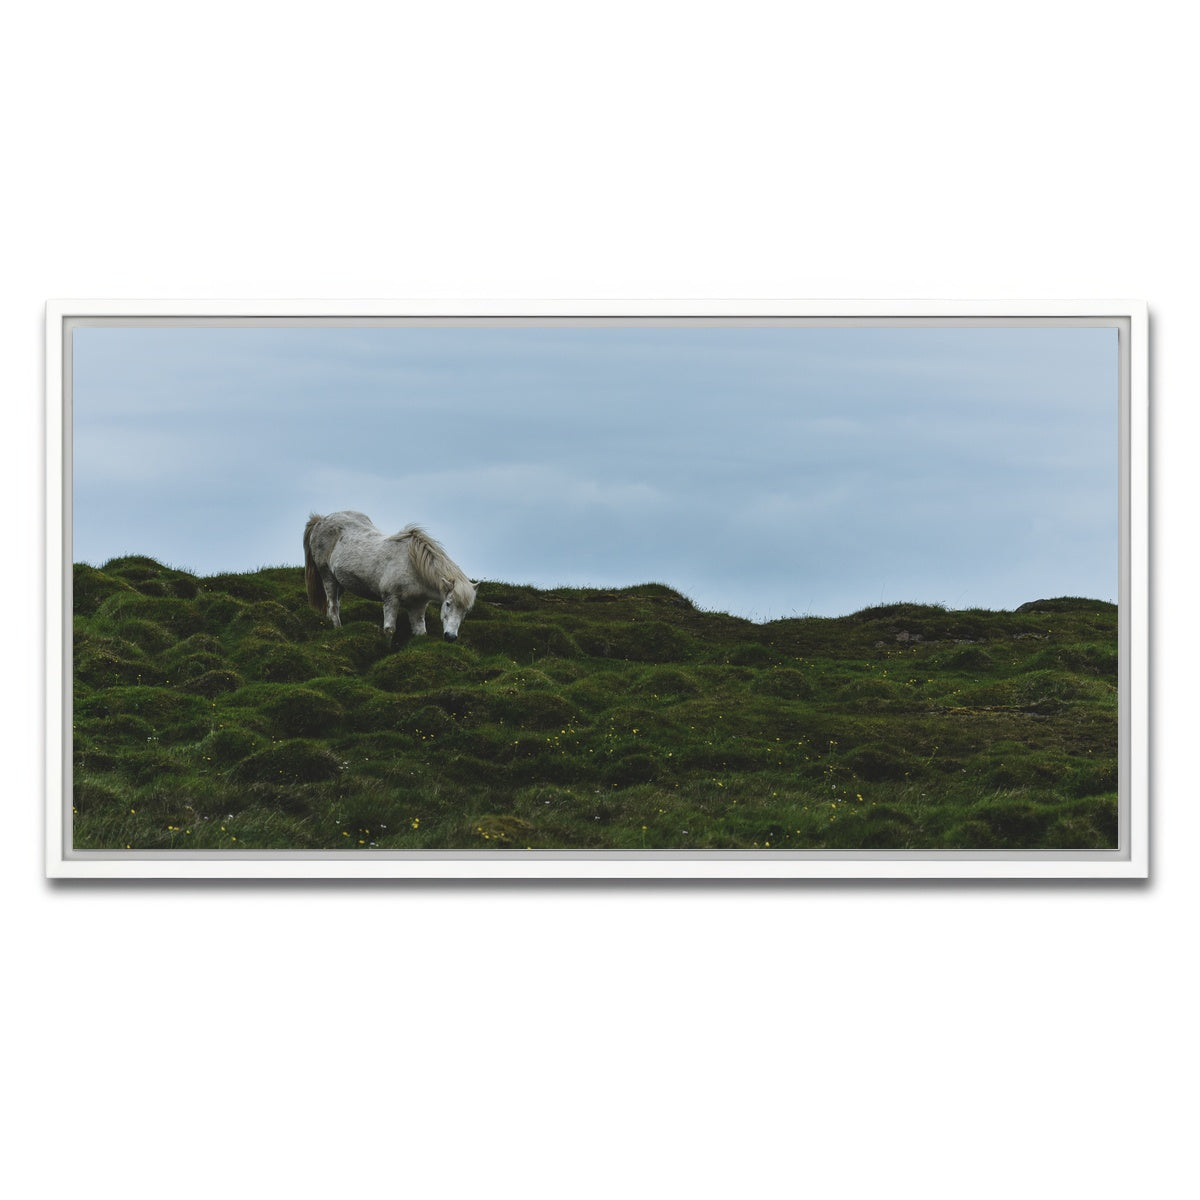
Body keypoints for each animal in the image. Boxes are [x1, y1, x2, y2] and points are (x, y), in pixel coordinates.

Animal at [303, 511, 478, 643]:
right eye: (448, 603)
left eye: (466, 611)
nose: (450, 637)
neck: (413, 566)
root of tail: (320, 520)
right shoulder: (391, 598)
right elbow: (389, 630)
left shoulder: (418, 606)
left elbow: (420, 633)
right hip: (328, 577)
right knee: (333, 607)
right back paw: (338, 630)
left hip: (341, 582)